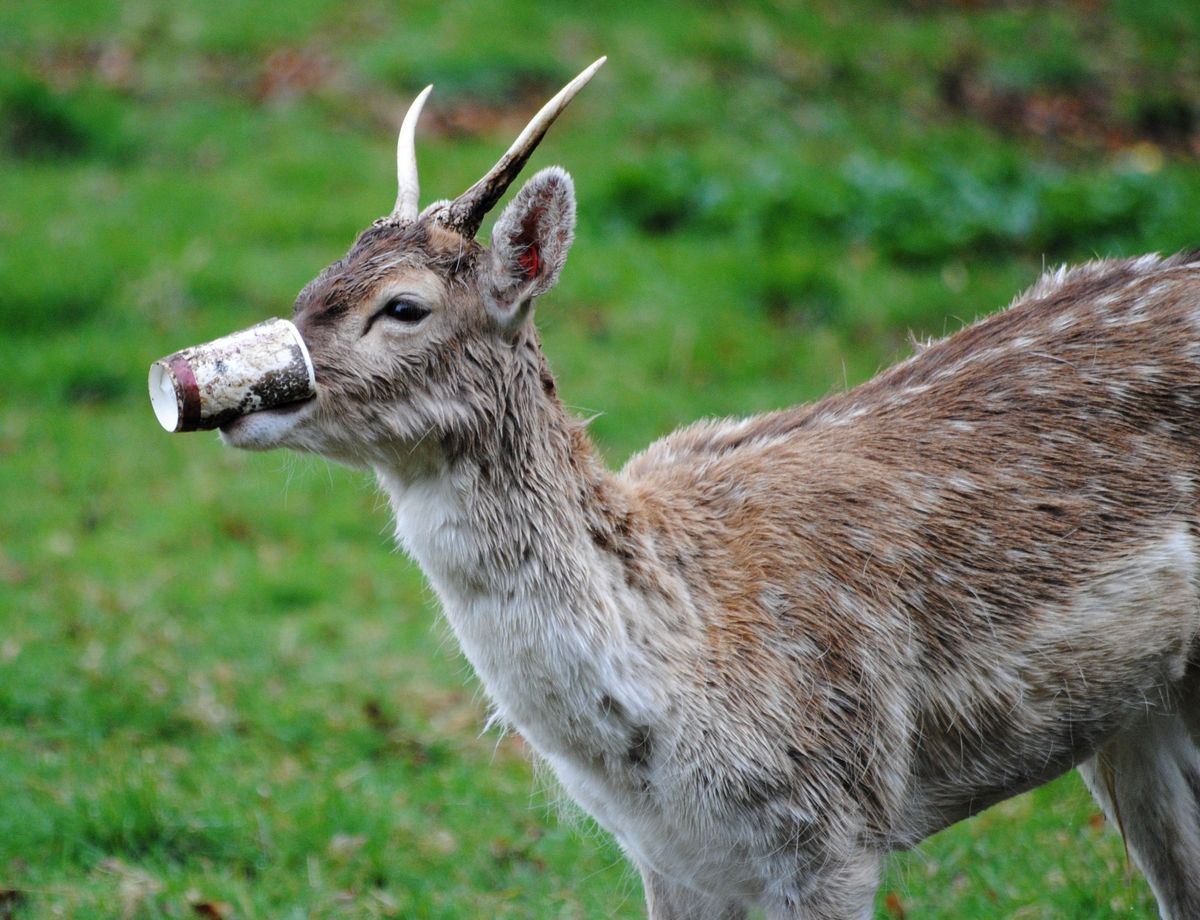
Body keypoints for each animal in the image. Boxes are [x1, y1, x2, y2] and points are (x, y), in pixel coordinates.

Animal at [216, 59, 1200, 920]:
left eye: (404, 306)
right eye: (318, 278)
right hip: (1139, 714)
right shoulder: (673, 859)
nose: (236, 384)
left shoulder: (838, 826)